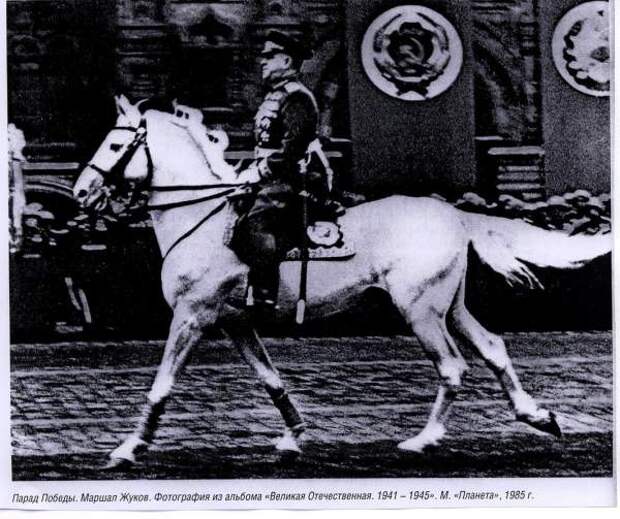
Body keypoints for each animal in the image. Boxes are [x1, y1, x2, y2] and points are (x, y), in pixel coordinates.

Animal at [74, 95, 612, 470]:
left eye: (117, 144)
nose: (81, 193)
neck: (200, 220)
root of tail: (455, 214)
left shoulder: (192, 317)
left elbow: (161, 386)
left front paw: (128, 447)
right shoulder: (233, 323)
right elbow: (270, 379)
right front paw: (292, 436)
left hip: (419, 310)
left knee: (453, 367)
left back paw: (424, 440)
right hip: (450, 306)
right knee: (493, 347)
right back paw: (537, 416)